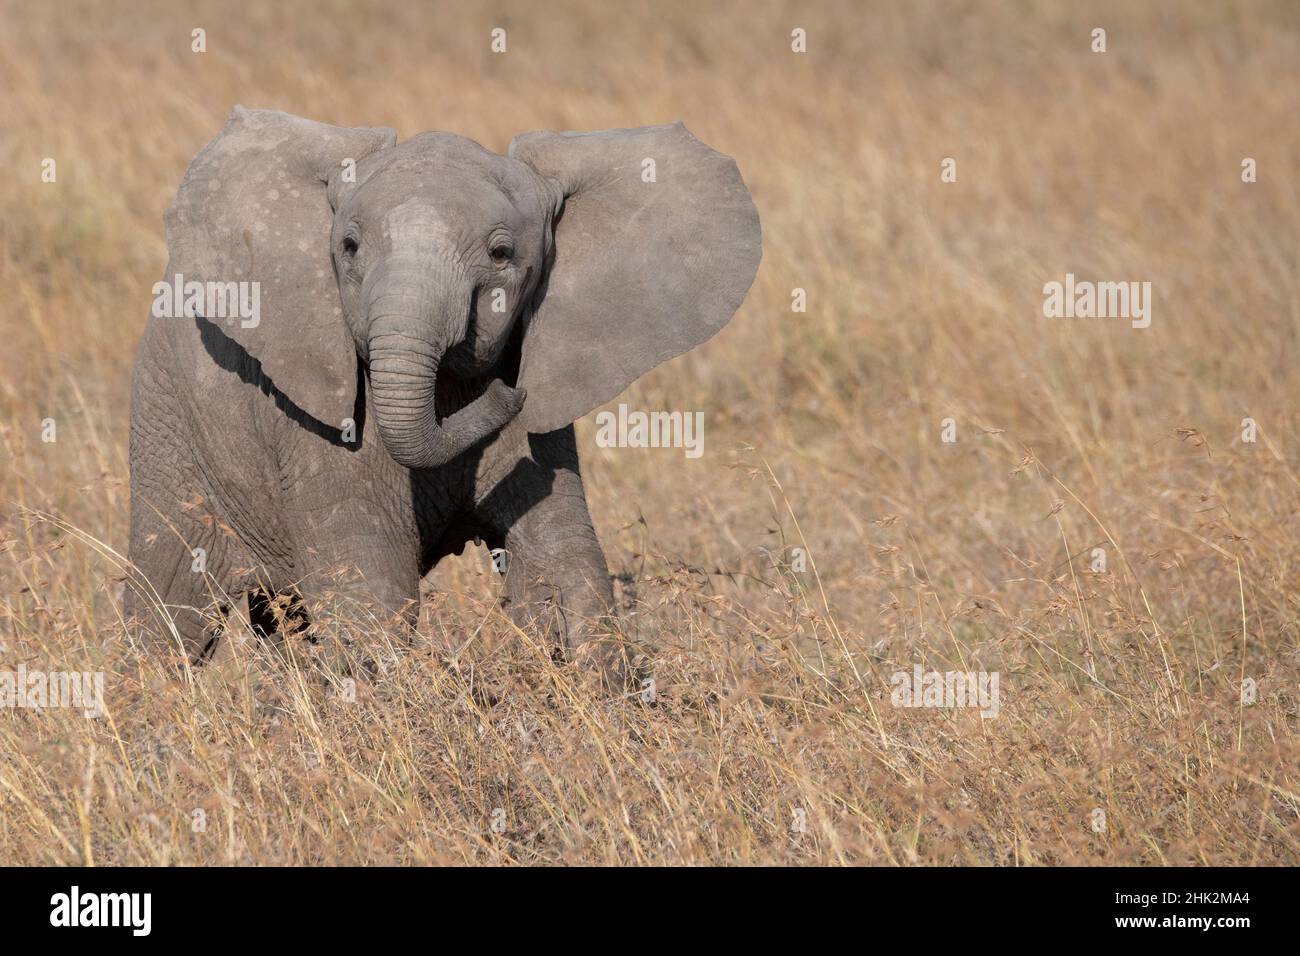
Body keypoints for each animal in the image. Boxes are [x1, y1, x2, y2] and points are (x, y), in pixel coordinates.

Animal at [124, 106, 761, 680]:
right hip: (168, 430)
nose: (510, 391)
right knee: (169, 609)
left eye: (502, 254)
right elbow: (371, 582)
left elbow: (564, 557)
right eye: (349, 247)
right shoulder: (310, 419)